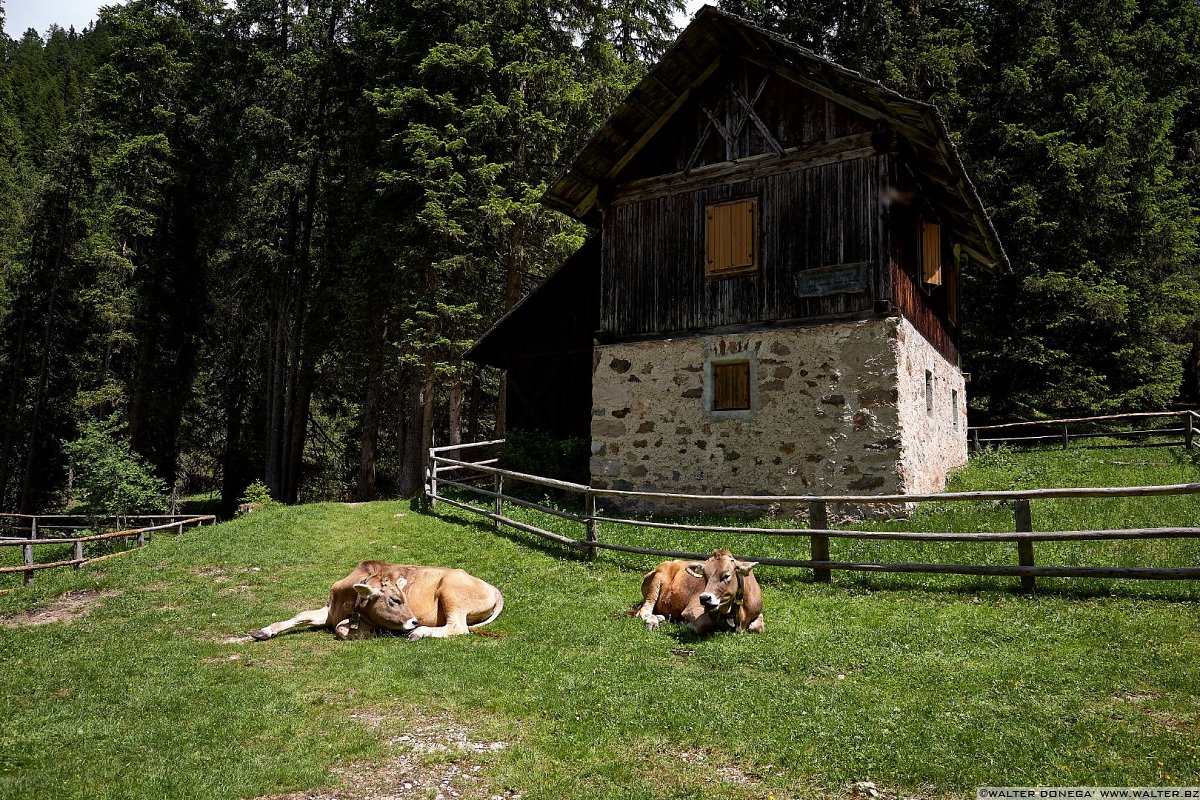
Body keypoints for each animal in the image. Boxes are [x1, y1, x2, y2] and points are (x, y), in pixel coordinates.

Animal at [250, 563, 504, 642]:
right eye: (395, 599)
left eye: (403, 598)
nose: (414, 621)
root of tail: (495, 589)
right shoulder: (329, 612)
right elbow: (301, 615)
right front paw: (265, 631)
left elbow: (341, 629)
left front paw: (374, 631)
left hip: (451, 592)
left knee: (458, 627)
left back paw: (419, 633)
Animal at [633, 546, 763, 633]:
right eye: (704, 575)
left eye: (726, 575)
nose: (705, 598)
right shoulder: (692, 608)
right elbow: (705, 624)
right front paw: (688, 624)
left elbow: (758, 627)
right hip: (657, 580)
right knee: (644, 612)